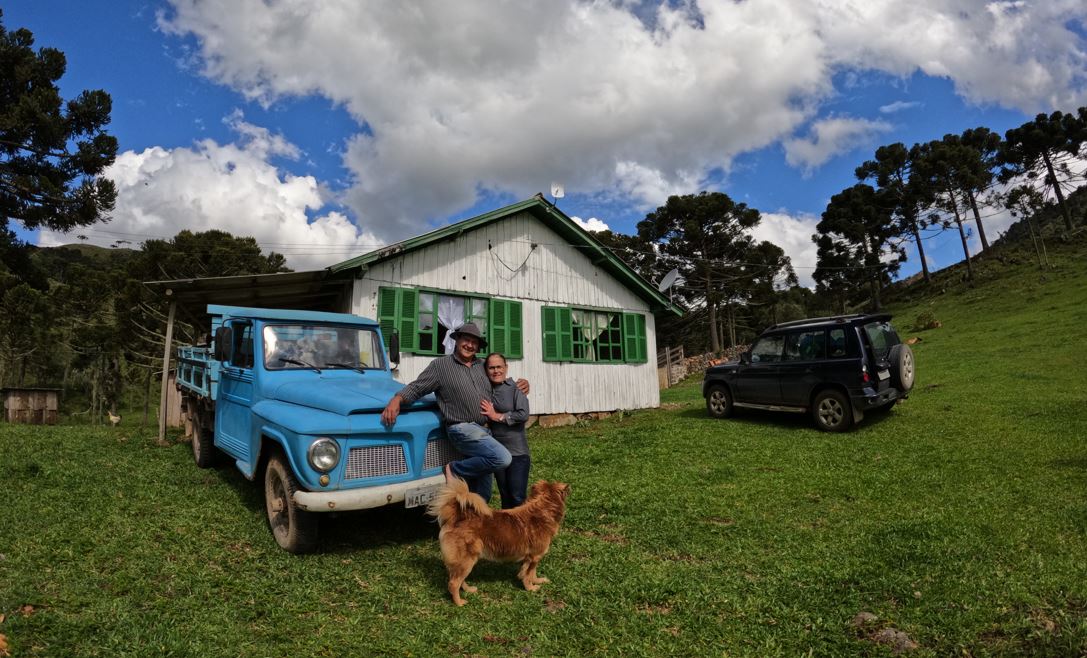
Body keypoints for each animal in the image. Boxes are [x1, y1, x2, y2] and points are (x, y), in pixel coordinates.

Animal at [428, 474, 573, 604]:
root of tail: (456, 518)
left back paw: (468, 589)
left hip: (464, 561)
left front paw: (537, 581)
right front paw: (530, 588)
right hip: (467, 559)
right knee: (453, 583)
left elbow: (532, 573)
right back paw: (459, 602)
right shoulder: (534, 556)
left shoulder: (532, 558)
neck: (542, 510)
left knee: (458, 579)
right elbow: (527, 574)